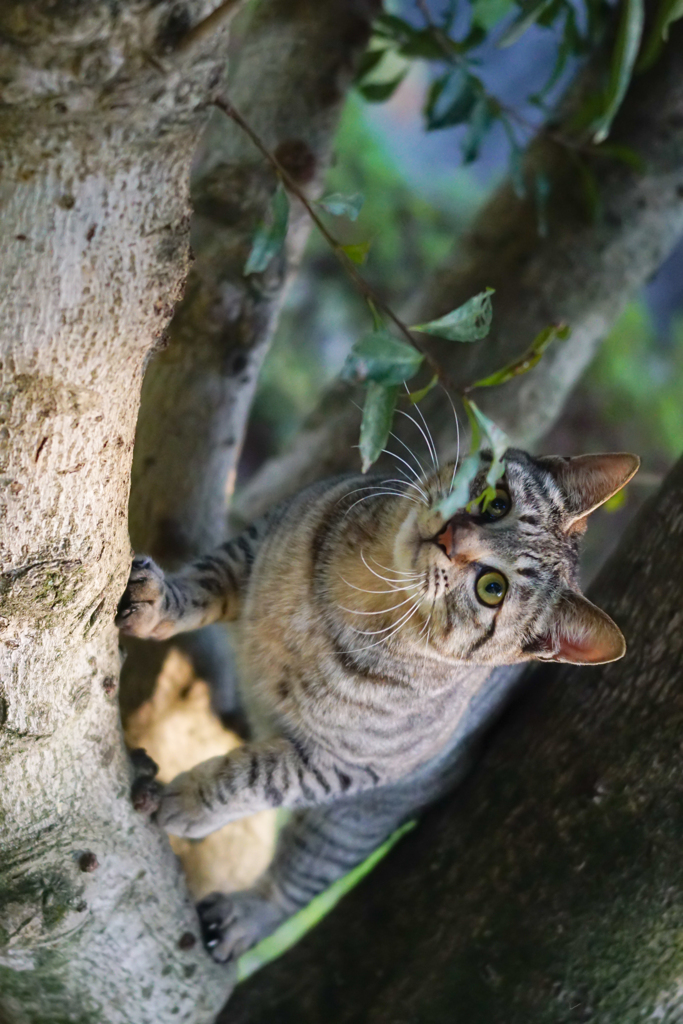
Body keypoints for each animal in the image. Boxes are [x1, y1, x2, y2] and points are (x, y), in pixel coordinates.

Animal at [118, 446, 643, 958]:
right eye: (498, 503)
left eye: (492, 588)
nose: (452, 537)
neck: (360, 592)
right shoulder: (253, 544)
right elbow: (204, 579)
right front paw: (160, 601)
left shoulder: (342, 765)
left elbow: (254, 777)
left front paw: (187, 799)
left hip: (346, 826)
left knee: (294, 883)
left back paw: (244, 917)